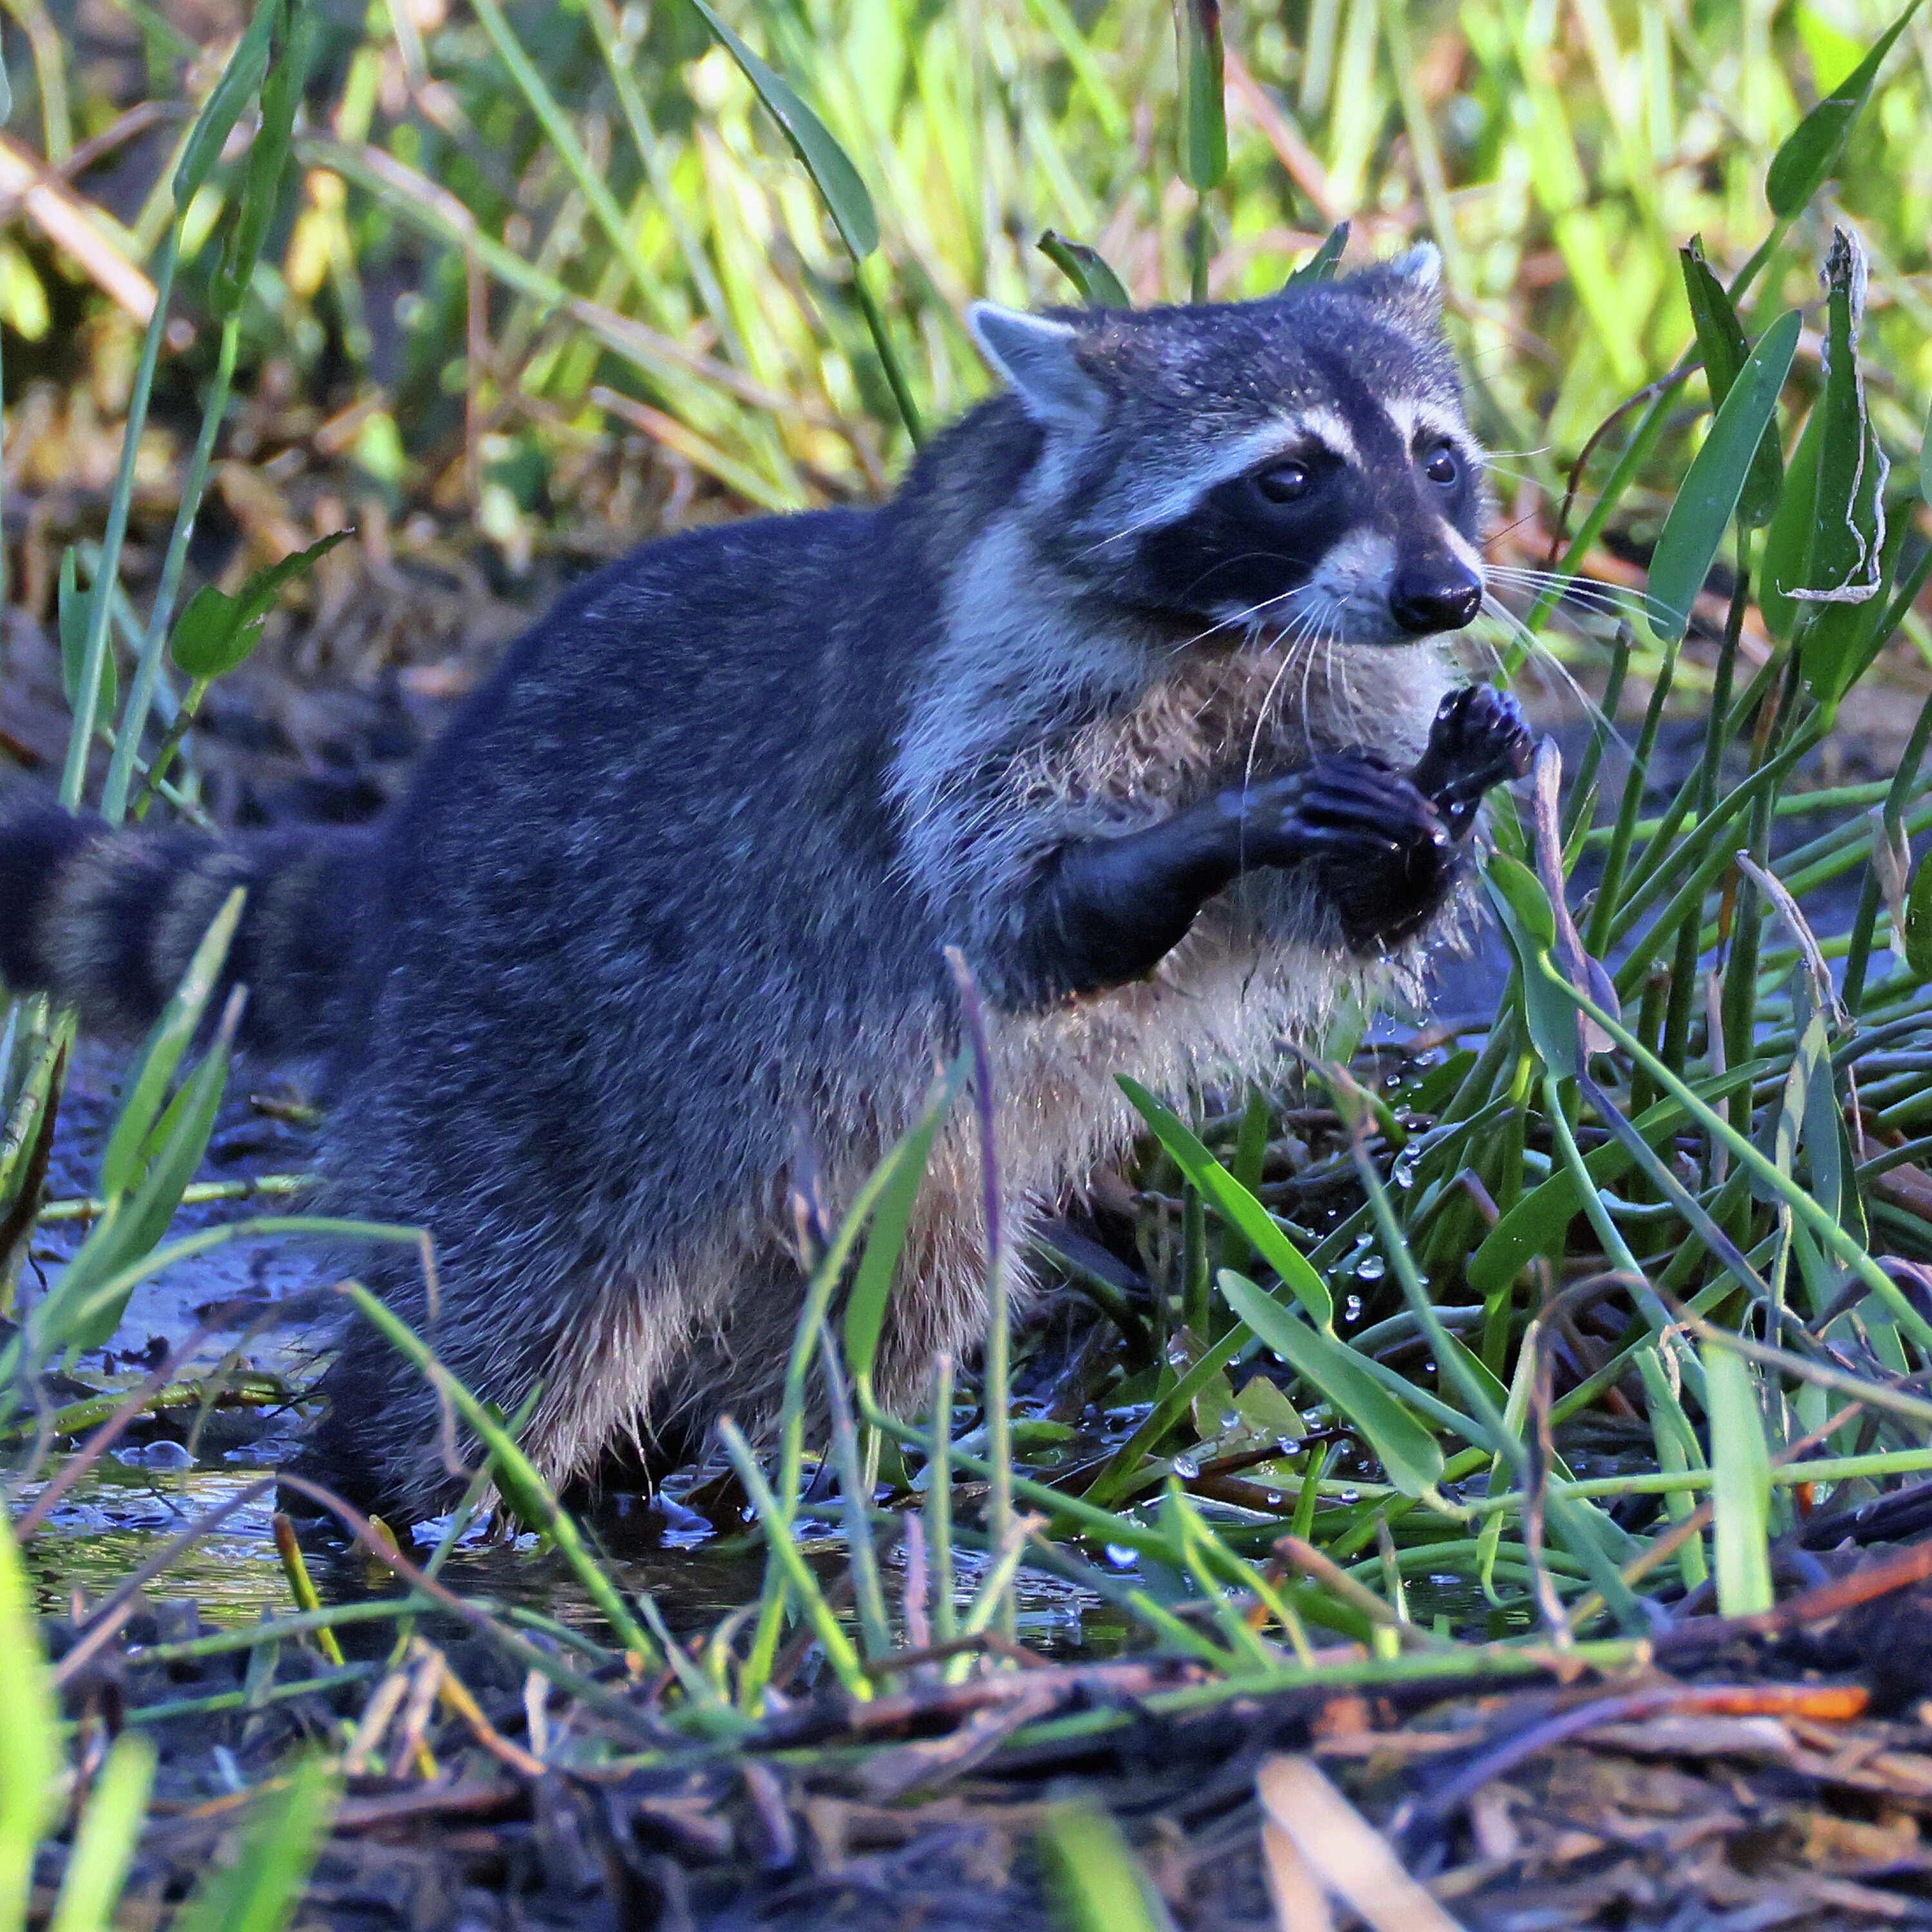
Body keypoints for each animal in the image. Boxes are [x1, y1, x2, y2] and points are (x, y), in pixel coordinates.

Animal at [0, 246, 1529, 1516]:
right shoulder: (978, 692)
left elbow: (1348, 914)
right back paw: (384, 1506)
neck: (1235, 633)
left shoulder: (1340, 681)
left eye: (1437, 458)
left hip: (898, 1180)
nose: (1447, 595)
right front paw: (1218, 828)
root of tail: (404, 864)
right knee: (500, 1340)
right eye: (1291, 476)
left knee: (870, 1325)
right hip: (512, 1076)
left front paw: (1436, 815)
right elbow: (1017, 923)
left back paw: (754, 1483)